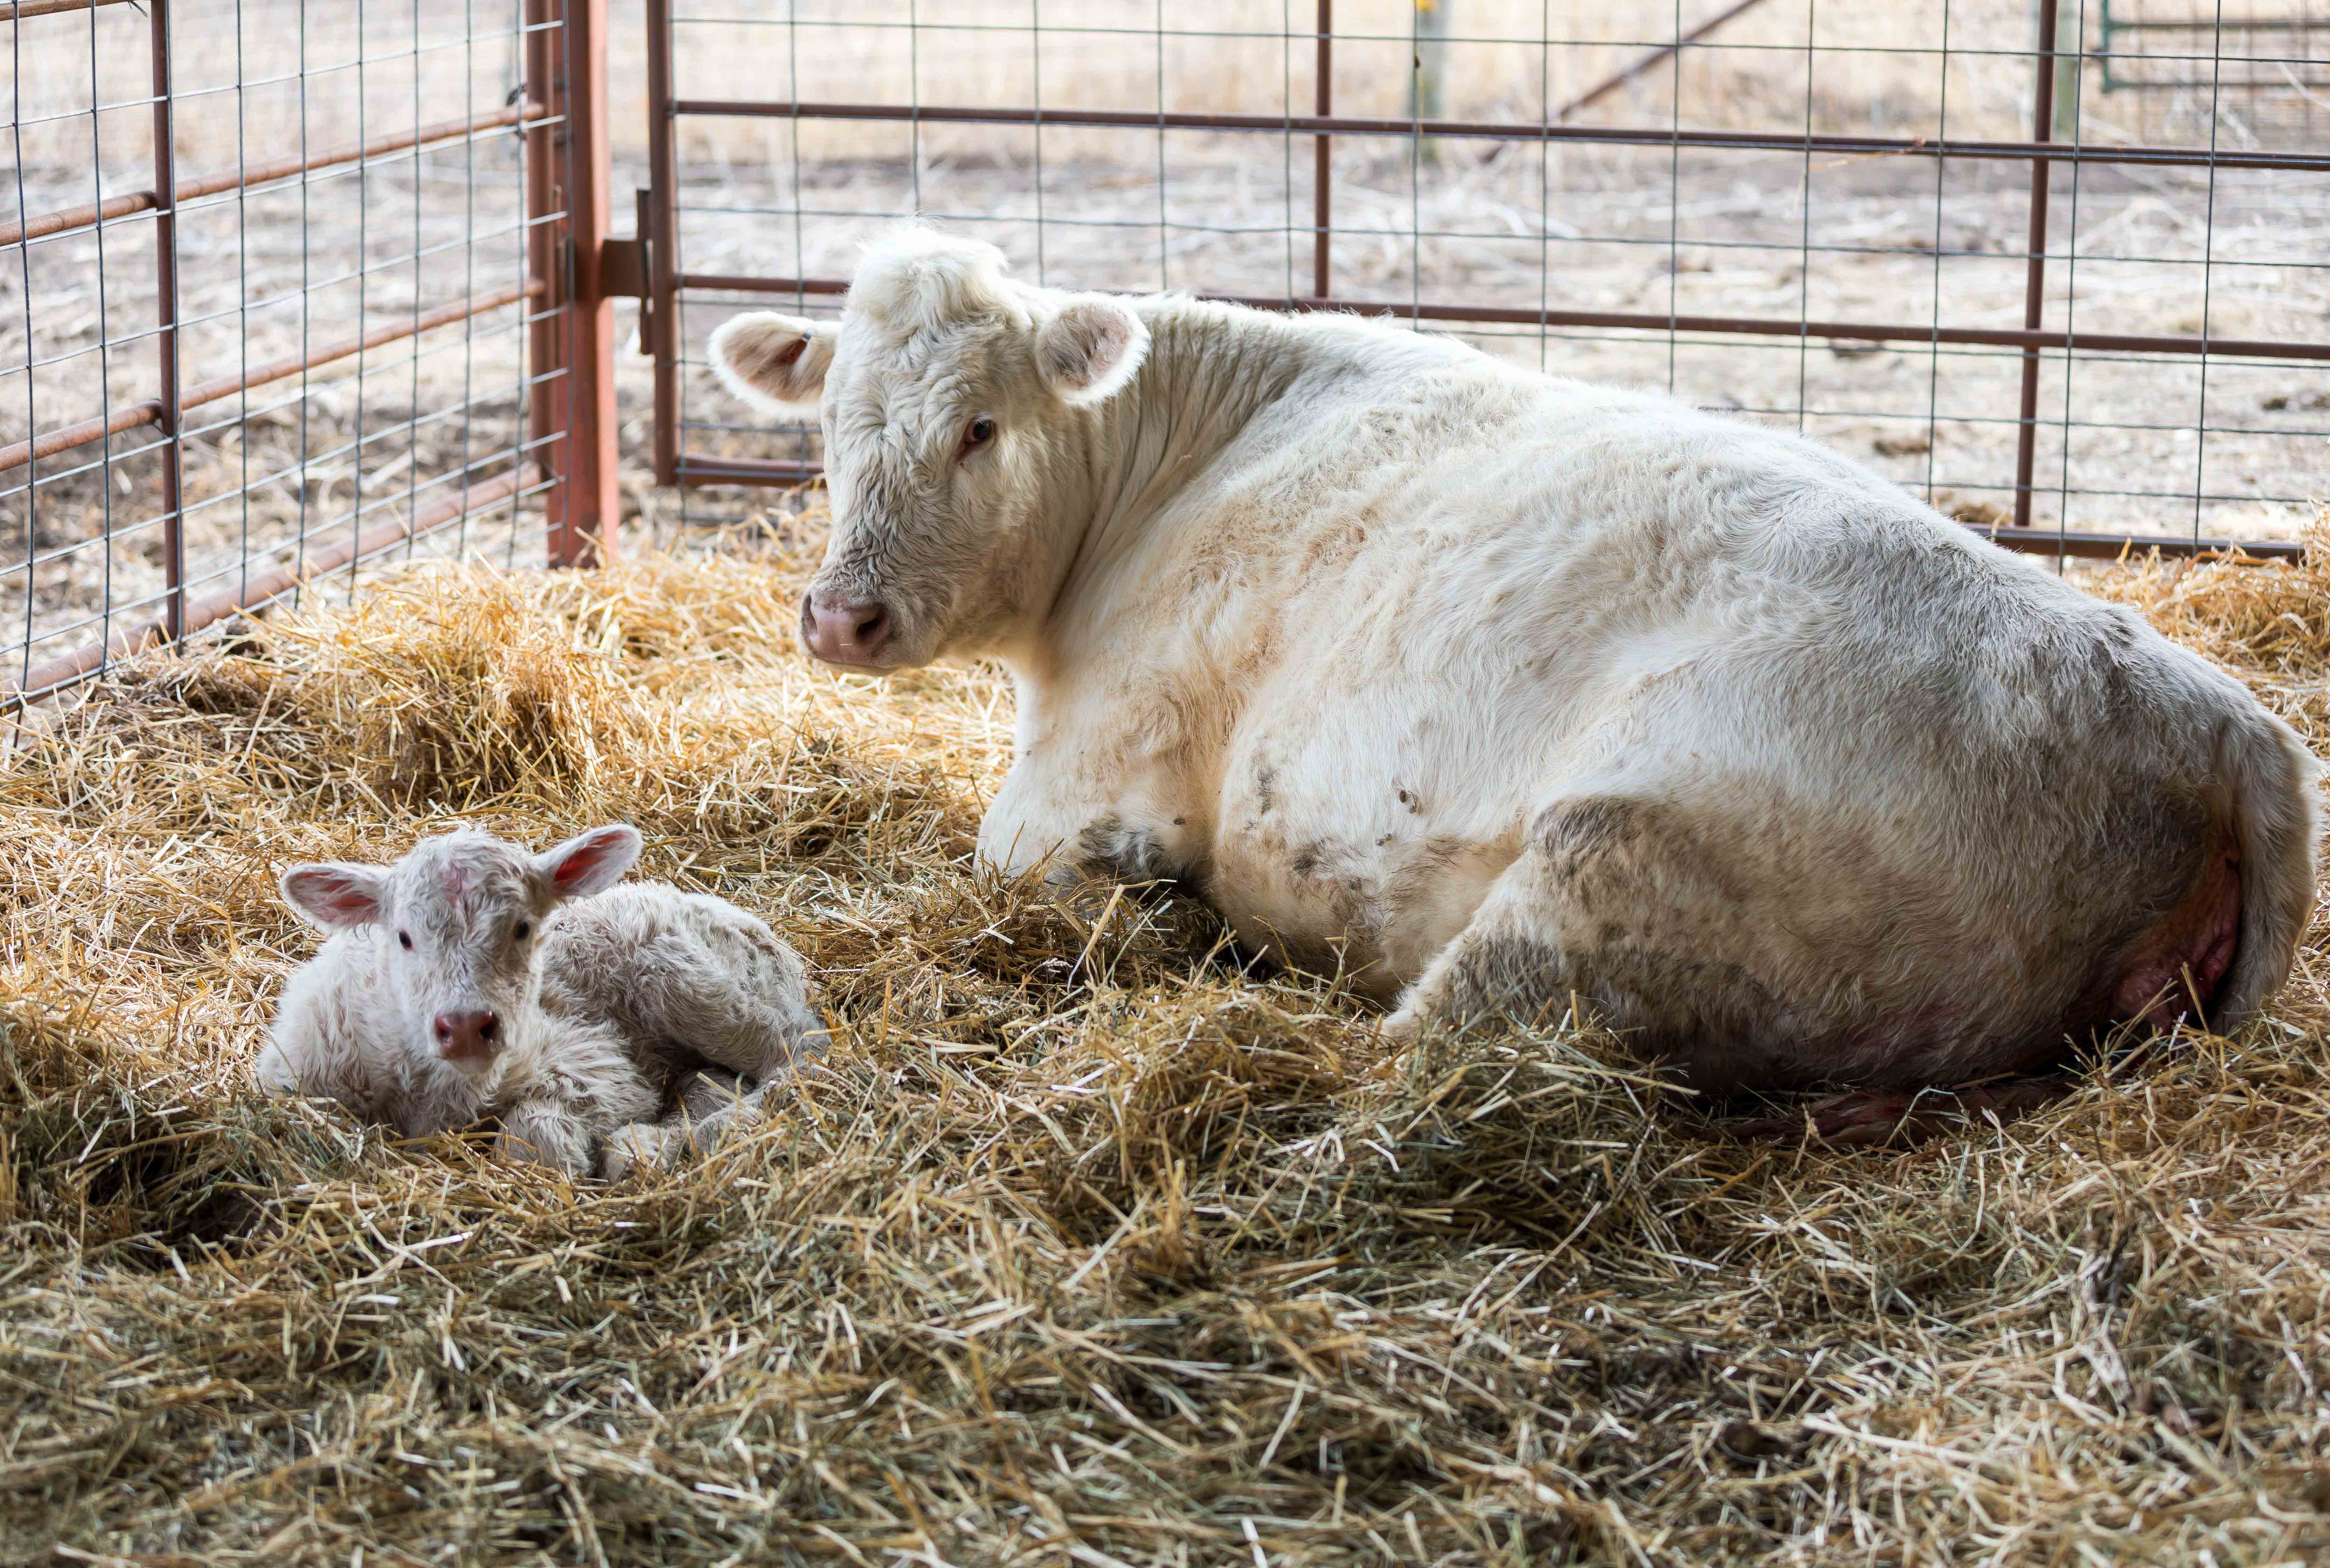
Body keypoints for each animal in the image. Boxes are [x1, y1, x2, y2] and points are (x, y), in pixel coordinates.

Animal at [708, 227, 2320, 1124]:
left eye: (978, 426)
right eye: (830, 421)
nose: (840, 617)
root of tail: (2214, 715)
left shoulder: (1082, 782)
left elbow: (1023, 855)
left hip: (1600, 871)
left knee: (1412, 1060)